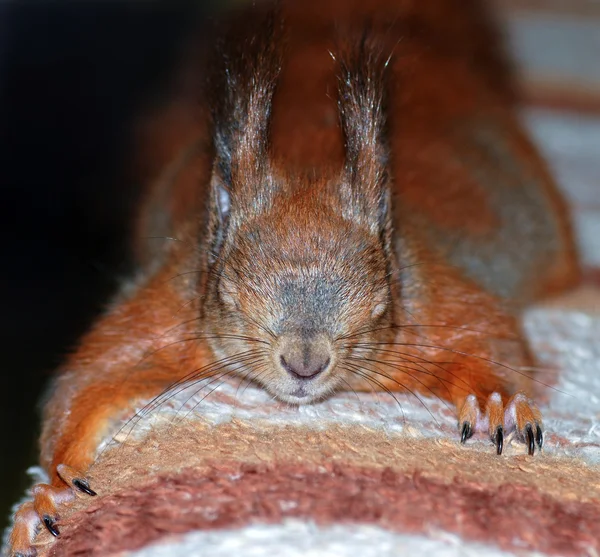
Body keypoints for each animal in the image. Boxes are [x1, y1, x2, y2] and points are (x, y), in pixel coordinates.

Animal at [8, 1, 580, 552]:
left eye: (379, 302)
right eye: (229, 293)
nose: (305, 364)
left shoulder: (434, 304)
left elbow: (491, 338)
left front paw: (495, 402)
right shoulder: (167, 311)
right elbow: (89, 377)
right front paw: (50, 492)